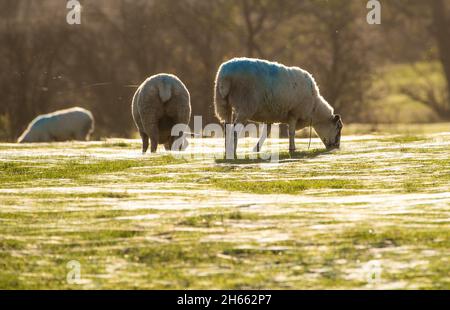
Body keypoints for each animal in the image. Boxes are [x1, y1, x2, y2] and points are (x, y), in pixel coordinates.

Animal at [213, 57, 342, 156]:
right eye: (338, 127)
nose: (336, 147)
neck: (314, 108)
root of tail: (225, 75)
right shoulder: (294, 113)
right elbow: (291, 132)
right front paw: (292, 149)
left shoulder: (269, 115)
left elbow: (266, 132)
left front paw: (257, 148)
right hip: (245, 106)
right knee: (235, 129)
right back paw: (232, 152)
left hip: (224, 104)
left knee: (227, 127)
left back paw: (227, 150)